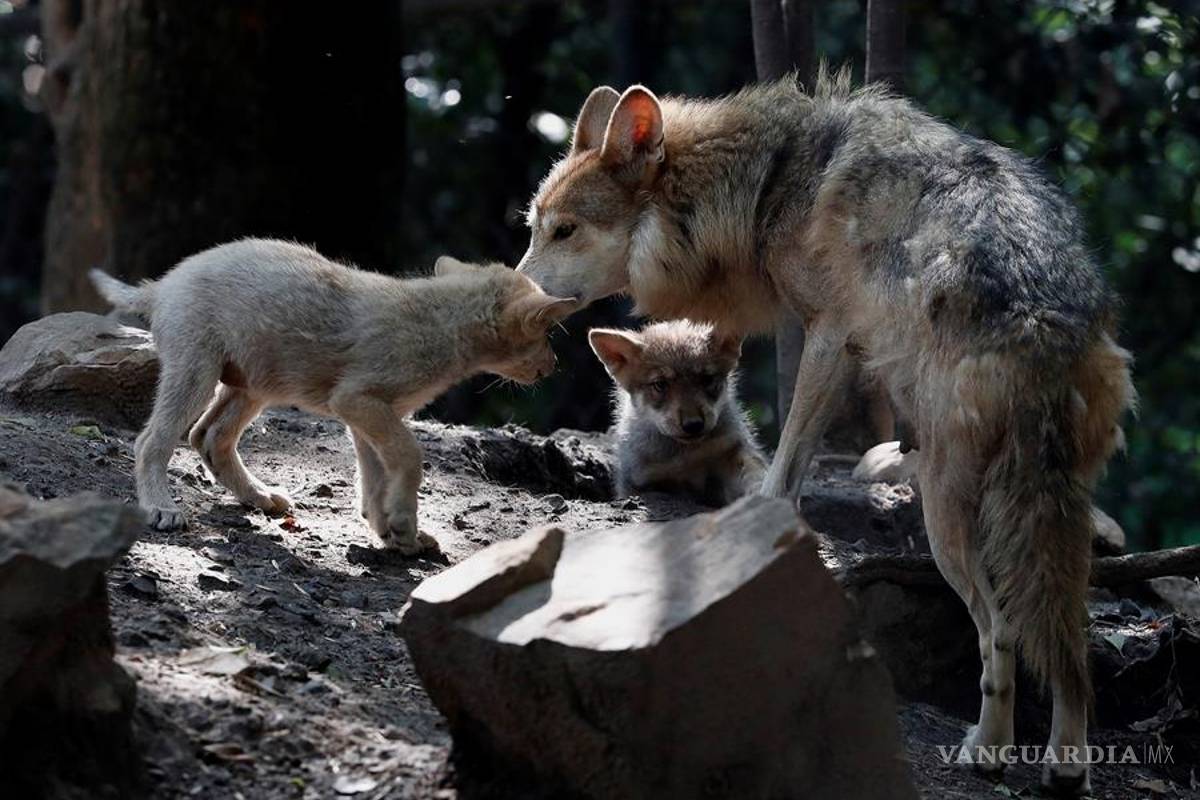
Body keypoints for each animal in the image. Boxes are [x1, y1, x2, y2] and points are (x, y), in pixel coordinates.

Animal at [92, 238, 575, 555]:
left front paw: (390, 532)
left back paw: (259, 496)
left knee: (208, 438)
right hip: (197, 374)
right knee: (152, 441)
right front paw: (403, 524)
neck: (439, 322)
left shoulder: (368, 416)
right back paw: (161, 506)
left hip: (253, 384)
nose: (555, 365)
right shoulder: (358, 402)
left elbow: (374, 479)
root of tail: (162, 284)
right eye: (547, 333)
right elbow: (410, 457)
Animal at [589, 320, 766, 506]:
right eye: (660, 384)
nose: (693, 425)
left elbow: (754, 470)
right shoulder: (645, 482)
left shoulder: (731, 449)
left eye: (707, 379)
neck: (687, 455)